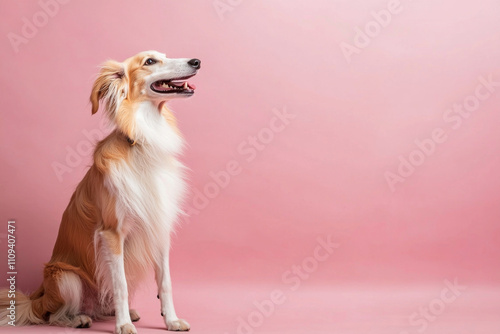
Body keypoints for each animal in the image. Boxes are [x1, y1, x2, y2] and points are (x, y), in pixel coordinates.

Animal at [0, 50, 199, 334]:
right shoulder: (111, 233)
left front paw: (170, 319)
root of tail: (38, 296)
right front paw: (123, 325)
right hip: (66, 278)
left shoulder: (159, 229)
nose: (196, 62)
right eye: (150, 61)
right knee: (53, 315)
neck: (141, 142)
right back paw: (79, 319)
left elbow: (165, 282)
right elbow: (120, 285)